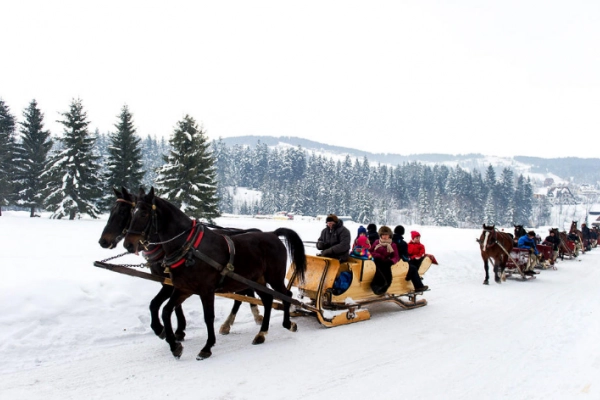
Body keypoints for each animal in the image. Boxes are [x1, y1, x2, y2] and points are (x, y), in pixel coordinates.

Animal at [98, 188, 262, 340]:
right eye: (112, 210)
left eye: (123, 212)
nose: (103, 241)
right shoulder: (172, 282)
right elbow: (169, 304)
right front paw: (175, 330)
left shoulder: (171, 284)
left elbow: (156, 304)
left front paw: (167, 329)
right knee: (245, 293)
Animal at [123, 188, 308, 360]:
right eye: (131, 213)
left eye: (144, 213)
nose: (128, 244)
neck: (190, 247)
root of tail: (273, 234)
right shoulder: (183, 289)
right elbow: (166, 310)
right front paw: (174, 345)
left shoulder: (206, 290)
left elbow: (208, 317)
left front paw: (207, 347)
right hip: (257, 279)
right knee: (268, 299)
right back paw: (262, 333)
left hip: (274, 277)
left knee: (286, 295)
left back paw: (287, 323)